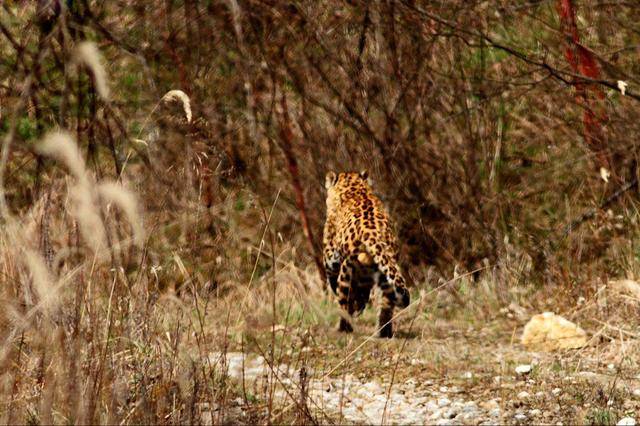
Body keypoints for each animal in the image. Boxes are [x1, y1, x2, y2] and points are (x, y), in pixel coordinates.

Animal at [322, 171, 412, 340]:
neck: (354, 186)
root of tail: (373, 234)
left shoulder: (330, 254)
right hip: (385, 273)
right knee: (385, 305)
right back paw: (384, 332)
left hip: (347, 272)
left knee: (345, 304)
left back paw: (343, 328)